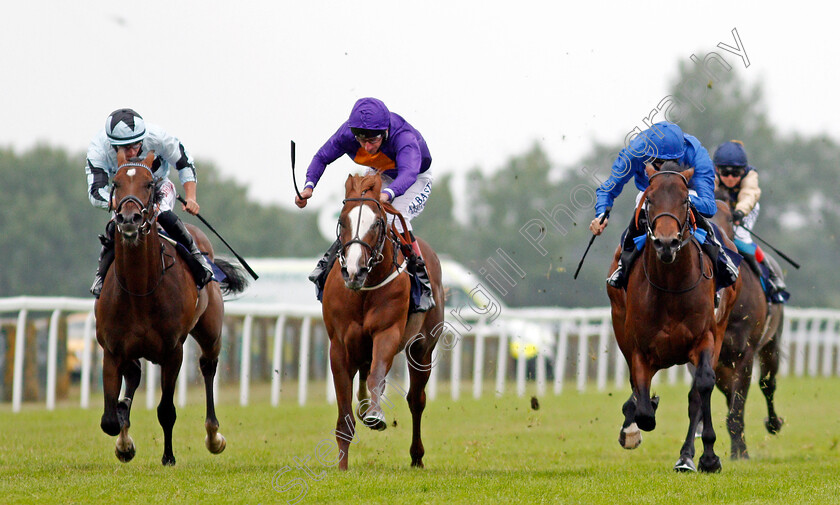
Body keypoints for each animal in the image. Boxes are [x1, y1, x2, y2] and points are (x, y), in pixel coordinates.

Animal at [94, 150, 248, 464]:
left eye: (149, 184)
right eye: (116, 183)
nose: (128, 218)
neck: (140, 290)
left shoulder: (173, 351)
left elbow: (166, 410)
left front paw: (168, 457)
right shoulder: (112, 350)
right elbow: (110, 419)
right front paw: (124, 441)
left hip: (210, 331)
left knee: (208, 366)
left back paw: (214, 436)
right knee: (134, 375)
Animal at [324, 173, 446, 468]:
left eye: (377, 222)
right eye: (342, 220)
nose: (354, 271)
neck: (364, 290)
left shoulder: (387, 332)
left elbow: (378, 373)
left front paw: (375, 415)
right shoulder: (338, 345)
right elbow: (344, 414)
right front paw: (342, 467)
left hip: (422, 348)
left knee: (416, 399)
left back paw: (416, 456)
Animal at [608, 162, 740, 472]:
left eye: (684, 200)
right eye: (650, 200)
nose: (666, 243)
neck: (670, 286)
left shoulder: (705, 338)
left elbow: (703, 385)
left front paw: (709, 457)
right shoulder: (639, 348)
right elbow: (643, 407)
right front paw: (636, 421)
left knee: (697, 394)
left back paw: (687, 457)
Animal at [712, 197, 784, 456]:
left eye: (729, 218)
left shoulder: (746, 353)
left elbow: (737, 407)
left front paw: (740, 453)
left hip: (772, 342)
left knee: (767, 383)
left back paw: (774, 424)